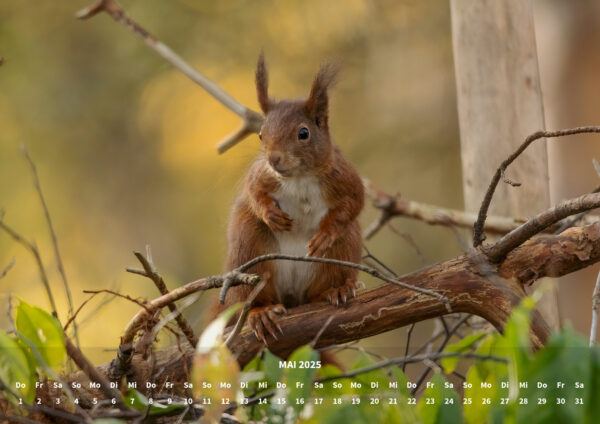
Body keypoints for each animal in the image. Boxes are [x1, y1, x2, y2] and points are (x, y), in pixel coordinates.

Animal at [219, 53, 364, 344]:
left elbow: (355, 203)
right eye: (261, 134)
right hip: (248, 252)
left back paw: (338, 289)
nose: (274, 159)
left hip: (343, 250)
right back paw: (261, 312)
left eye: (303, 133)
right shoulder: (261, 175)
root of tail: (292, 297)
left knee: (321, 287)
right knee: (252, 297)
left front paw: (325, 234)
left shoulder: (344, 178)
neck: (299, 178)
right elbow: (253, 193)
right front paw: (271, 214)